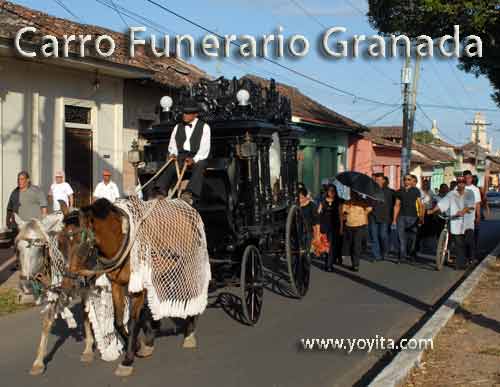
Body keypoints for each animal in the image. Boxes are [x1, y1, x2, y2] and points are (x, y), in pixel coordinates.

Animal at [59, 202, 198, 378]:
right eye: (59, 243)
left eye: (80, 244)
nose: (67, 285)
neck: (120, 240)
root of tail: (186, 204)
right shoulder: (116, 284)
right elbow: (118, 322)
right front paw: (139, 344)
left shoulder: (138, 288)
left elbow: (133, 321)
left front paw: (128, 360)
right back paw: (153, 331)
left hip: (187, 264)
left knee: (191, 292)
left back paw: (189, 333)